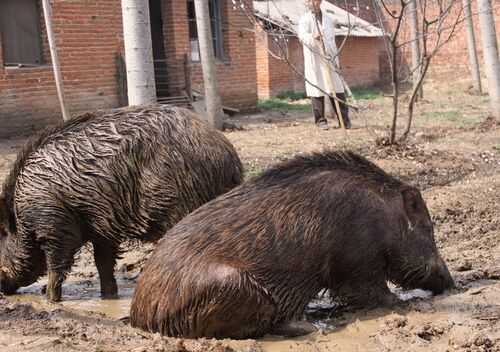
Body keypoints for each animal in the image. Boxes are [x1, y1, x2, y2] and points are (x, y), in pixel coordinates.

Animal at [0, 104, 242, 302]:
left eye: (2, 236)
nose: (3, 288)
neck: (22, 209)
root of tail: (228, 157)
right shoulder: (102, 228)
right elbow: (103, 262)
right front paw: (108, 296)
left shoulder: (55, 224)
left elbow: (56, 265)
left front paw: (50, 300)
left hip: (181, 206)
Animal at [129, 150, 454, 340]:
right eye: (428, 228)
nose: (451, 282)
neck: (383, 217)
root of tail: (139, 315)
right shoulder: (354, 264)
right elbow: (374, 293)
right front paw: (407, 302)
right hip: (231, 284)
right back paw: (311, 328)